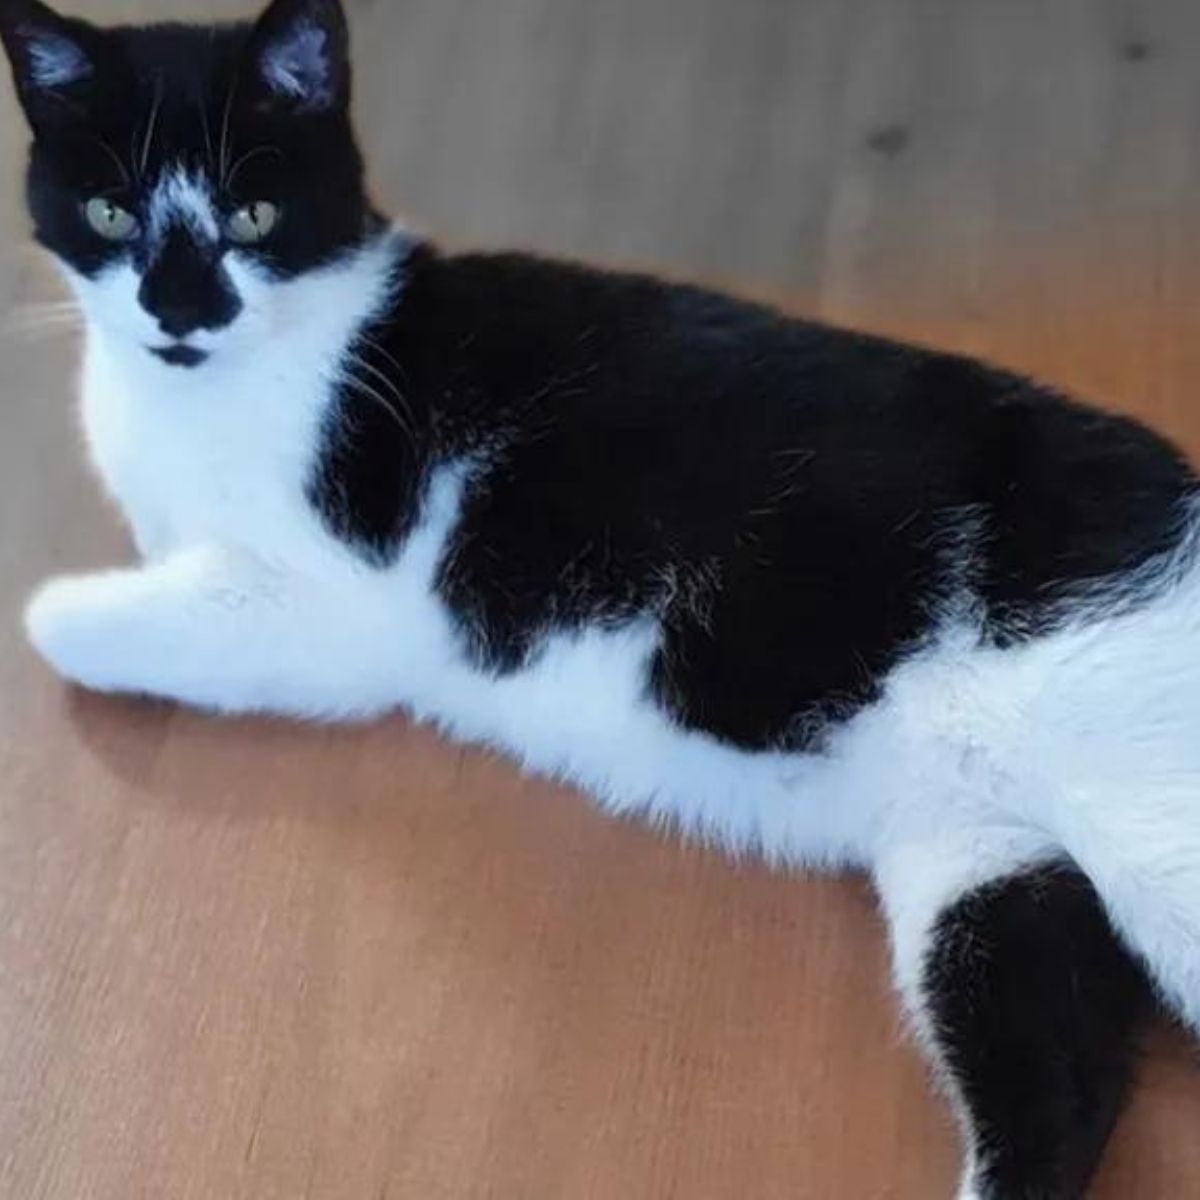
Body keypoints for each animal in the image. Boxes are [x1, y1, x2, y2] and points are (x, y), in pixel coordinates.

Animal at [2, 0, 1200, 1195]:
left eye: (252, 213)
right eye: (109, 212)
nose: (179, 310)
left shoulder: (333, 613)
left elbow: (66, 620)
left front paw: (67, 611)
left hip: (1142, 817)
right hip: (974, 853)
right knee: (1062, 1084)